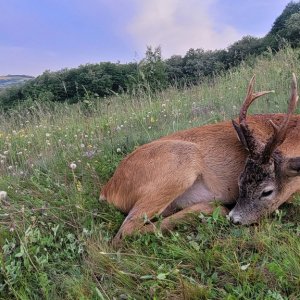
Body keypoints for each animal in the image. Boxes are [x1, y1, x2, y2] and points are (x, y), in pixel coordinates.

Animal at [101, 74, 300, 245]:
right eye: (239, 182)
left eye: (266, 192)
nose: (235, 219)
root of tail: (108, 189)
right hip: (181, 164)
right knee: (125, 231)